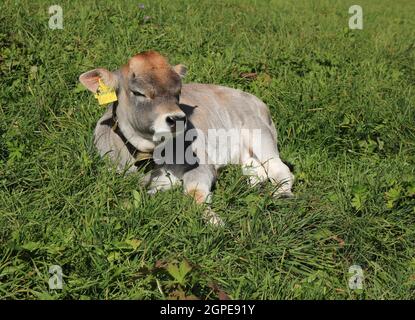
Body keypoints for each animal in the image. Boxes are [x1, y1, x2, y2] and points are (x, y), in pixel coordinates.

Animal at [79, 50, 294, 225]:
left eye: (178, 92)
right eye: (138, 92)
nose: (178, 118)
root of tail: (255, 99)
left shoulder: (201, 165)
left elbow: (195, 194)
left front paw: (215, 221)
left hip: (259, 133)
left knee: (280, 169)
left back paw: (282, 195)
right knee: (256, 170)